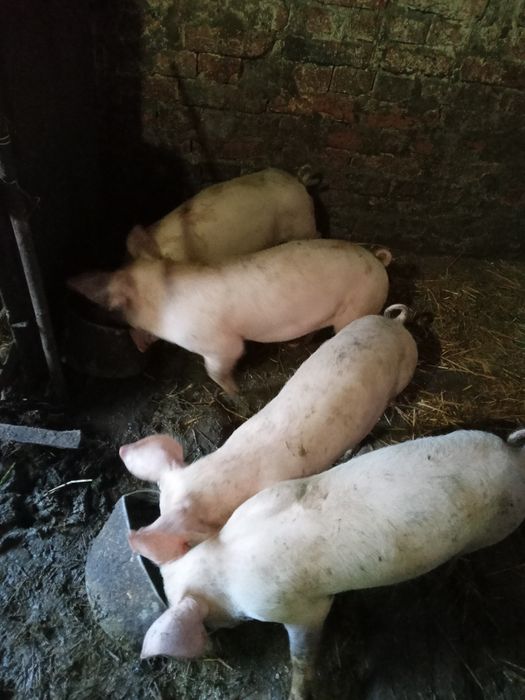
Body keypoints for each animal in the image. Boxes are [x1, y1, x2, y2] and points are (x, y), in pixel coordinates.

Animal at [67, 239, 393, 394]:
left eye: (119, 309)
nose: (139, 344)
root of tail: (377, 260)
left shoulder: (218, 344)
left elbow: (218, 368)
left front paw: (235, 392)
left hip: (359, 304)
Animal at [138, 428, 525, 700]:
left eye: (209, 624)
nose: (215, 647)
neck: (227, 564)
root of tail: (513, 454)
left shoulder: (299, 608)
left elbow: (302, 652)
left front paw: (297, 693)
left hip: (499, 526)